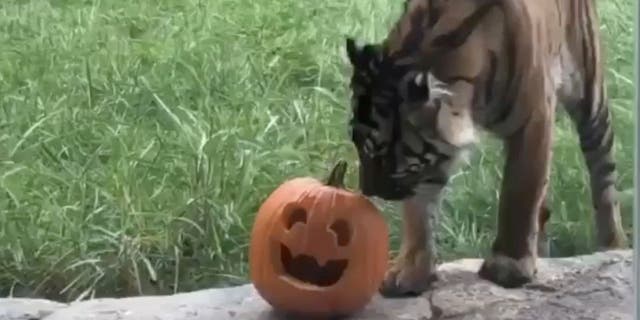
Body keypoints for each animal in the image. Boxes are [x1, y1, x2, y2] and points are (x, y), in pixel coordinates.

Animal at [344, 0, 632, 298]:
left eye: (381, 154)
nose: (366, 190)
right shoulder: (431, 159)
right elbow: (419, 209)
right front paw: (410, 272)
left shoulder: (534, 120)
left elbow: (520, 192)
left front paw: (509, 265)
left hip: (589, 92)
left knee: (603, 173)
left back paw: (613, 243)